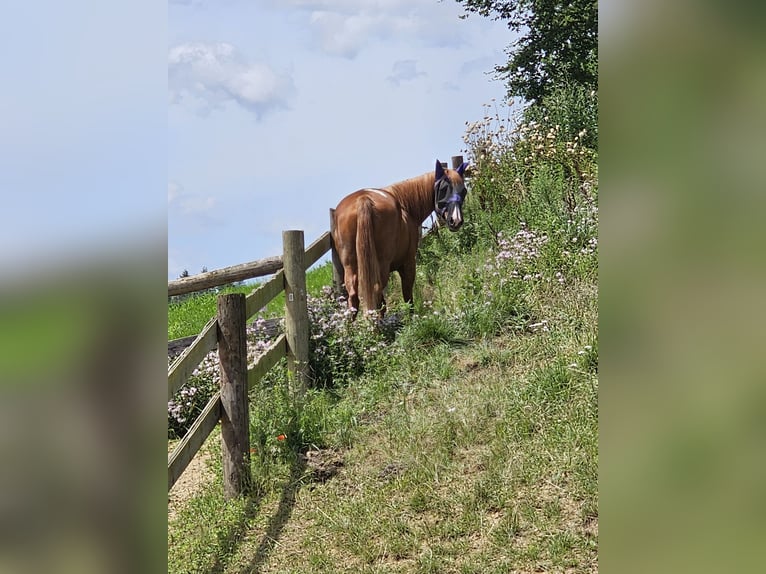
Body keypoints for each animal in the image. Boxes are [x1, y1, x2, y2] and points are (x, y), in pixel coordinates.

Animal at [330, 160, 468, 318]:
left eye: (464, 191)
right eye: (444, 189)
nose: (456, 221)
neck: (404, 206)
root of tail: (363, 199)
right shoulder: (408, 263)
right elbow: (408, 297)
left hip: (350, 265)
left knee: (354, 296)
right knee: (376, 292)